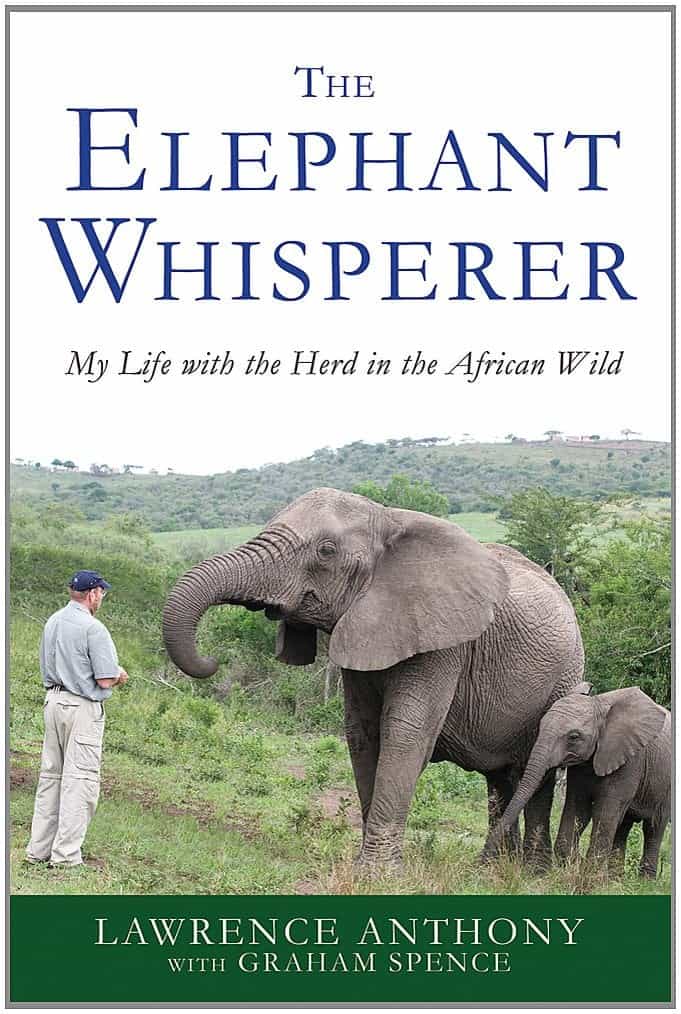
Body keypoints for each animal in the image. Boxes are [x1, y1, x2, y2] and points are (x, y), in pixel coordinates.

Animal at [162, 487, 585, 868]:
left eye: (326, 551)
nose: (212, 660)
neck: (388, 518)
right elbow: (362, 732)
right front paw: (363, 865)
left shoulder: (446, 640)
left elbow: (405, 732)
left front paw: (378, 874)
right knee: (499, 778)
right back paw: (494, 868)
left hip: (566, 677)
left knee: (539, 774)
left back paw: (531, 870)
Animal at [484, 686, 671, 878]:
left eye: (573, 737)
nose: (482, 861)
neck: (598, 705)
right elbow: (578, 808)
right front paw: (575, 866)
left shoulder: (630, 760)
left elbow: (604, 813)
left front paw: (590, 875)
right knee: (623, 826)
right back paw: (615, 879)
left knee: (654, 827)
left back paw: (644, 880)